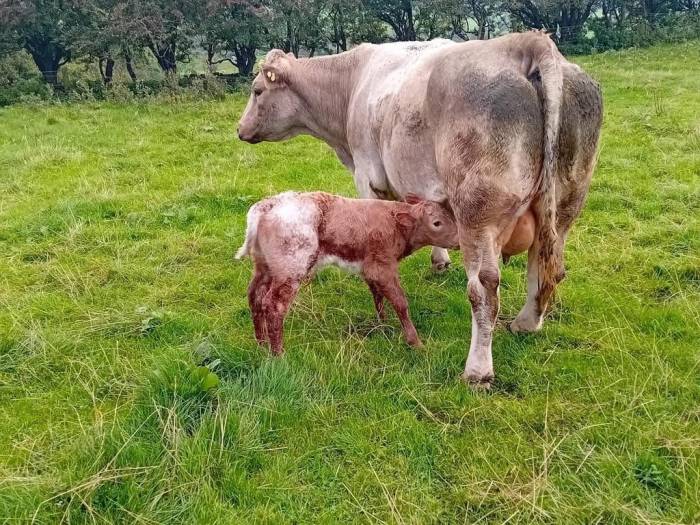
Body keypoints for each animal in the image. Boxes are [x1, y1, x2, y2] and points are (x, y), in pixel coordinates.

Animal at [235, 191, 459, 354]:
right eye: (437, 223)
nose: (459, 241)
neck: (395, 225)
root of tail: (266, 206)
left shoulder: (370, 268)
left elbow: (377, 296)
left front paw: (383, 323)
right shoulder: (382, 266)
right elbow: (400, 302)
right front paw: (415, 342)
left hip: (264, 266)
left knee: (255, 296)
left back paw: (261, 344)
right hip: (291, 268)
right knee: (274, 304)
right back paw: (278, 354)